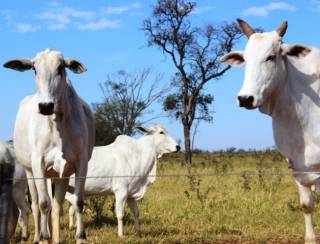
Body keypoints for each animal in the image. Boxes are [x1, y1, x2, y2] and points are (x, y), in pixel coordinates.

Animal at [3, 48, 94, 244]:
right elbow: (44, 204)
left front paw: (80, 237)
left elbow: (78, 202)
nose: (45, 106)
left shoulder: (80, 163)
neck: (57, 122)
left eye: (61, 68)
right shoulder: (38, 163)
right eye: (34, 69)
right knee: (36, 206)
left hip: (59, 174)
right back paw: (39, 236)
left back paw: (55, 237)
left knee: (56, 205)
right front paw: (44, 237)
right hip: (30, 173)